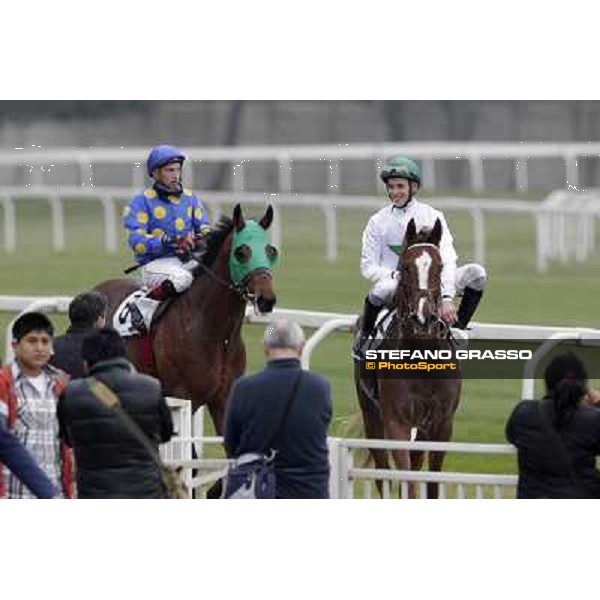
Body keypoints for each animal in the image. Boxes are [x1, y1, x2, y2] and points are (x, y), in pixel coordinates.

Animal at [96, 204, 278, 434]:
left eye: (271, 250)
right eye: (241, 252)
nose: (266, 299)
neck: (216, 334)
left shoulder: (223, 399)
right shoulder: (182, 397)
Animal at [354, 218, 462, 500]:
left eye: (440, 266)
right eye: (404, 266)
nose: (423, 317)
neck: (421, 358)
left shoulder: (441, 424)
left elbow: (431, 482)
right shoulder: (396, 422)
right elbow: (407, 481)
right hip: (371, 415)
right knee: (382, 473)